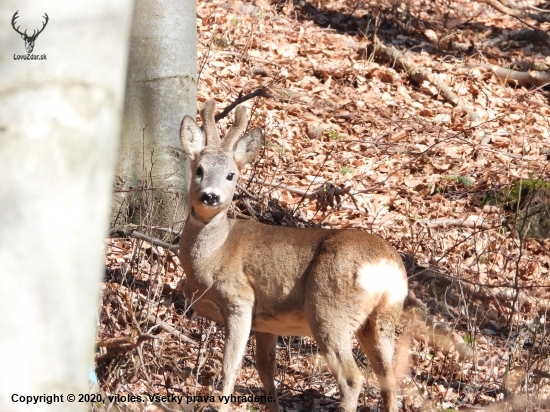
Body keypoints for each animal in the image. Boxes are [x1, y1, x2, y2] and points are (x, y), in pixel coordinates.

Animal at [179, 100, 408, 412]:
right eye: (199, 169)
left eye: (231, 175)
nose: (210, 196)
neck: (215, 253)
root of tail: (386, 267)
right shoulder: (266, 321)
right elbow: (265, 368)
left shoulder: (240, 300)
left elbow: (231, 367)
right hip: (382, 319)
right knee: (388, 377)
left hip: (329, 309)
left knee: (352, 378)